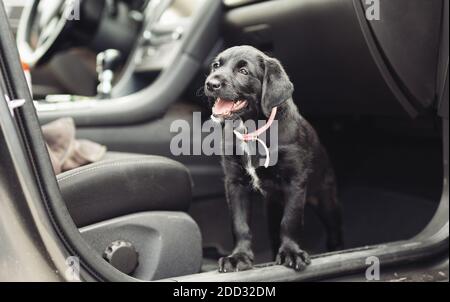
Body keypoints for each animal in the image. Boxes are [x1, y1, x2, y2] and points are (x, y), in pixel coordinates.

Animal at [204, 45, 342, 274]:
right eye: (216, 65)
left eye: (244, 71)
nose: (210, 83)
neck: (251, 130)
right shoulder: (235, 183)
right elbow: (239, 224)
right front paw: (238, 257)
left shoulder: (295, 182)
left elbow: (290, 221)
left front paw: (291, 253)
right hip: (272, 206)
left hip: (326, 197)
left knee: (334, 229)